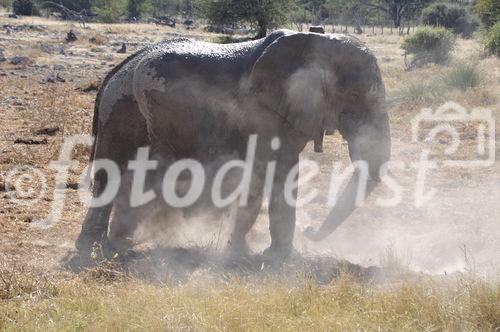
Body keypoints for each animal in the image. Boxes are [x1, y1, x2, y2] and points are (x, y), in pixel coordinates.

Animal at [76, 28, 392, 262]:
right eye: (354, 96)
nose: (310, 229)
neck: (317, 43)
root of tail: (117, 69)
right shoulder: (265, 112)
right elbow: (274, 172)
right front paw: (269, 258)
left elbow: (264, 176)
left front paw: (248, 253)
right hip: (121, 109)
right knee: (110, 173)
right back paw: (98, 248)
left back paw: (116, 241)